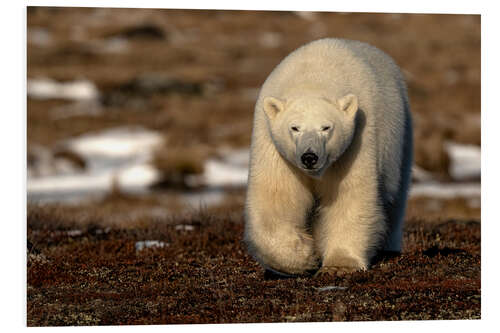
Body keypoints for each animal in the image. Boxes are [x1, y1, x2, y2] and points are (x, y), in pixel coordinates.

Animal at [244, 38, 412, 274]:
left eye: (326, 127)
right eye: (294, 127)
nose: (309, 157)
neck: (312, 80)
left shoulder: (355, 143)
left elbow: (349, 196)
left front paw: (340, 265)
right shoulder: (272, 145)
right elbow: (277, 197)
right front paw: (303, 257)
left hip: (400, 138)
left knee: (395, 198)